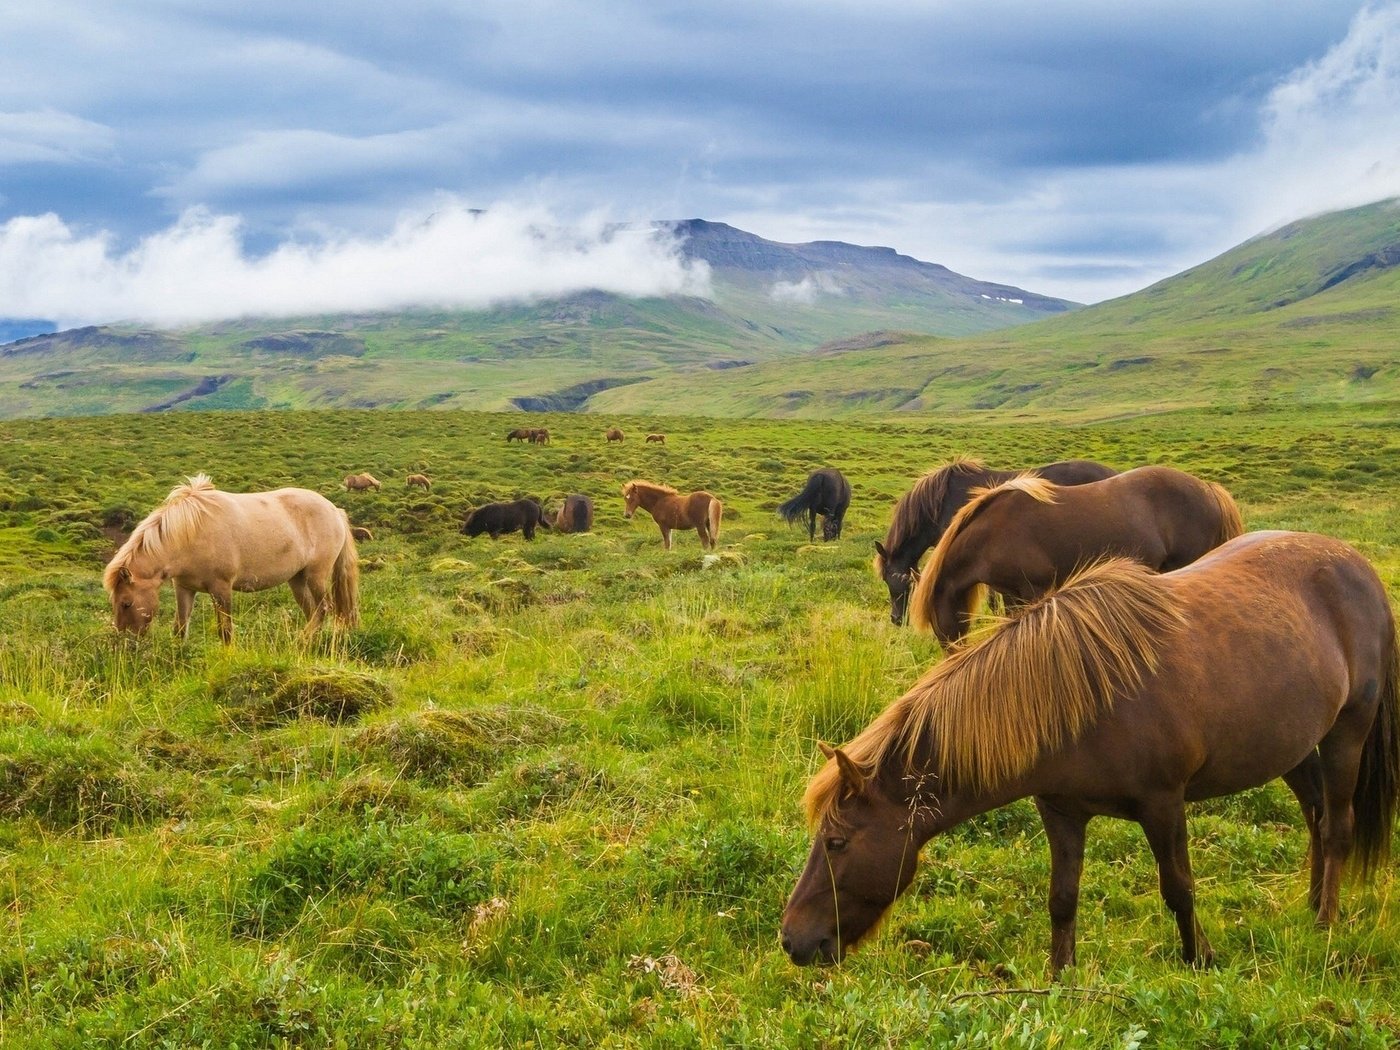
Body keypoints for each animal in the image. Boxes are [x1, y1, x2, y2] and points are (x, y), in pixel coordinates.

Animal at [104, 476, 361, 641]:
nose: (125, 643)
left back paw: (302, 643)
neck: (190, 534)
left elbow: (225, 630)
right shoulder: (184, 588)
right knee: (313, 612)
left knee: (324, 608)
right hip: (297, 579)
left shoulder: (221, 588)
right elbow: (180, 628)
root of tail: (334, 510)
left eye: (126, 603)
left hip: (315, 575)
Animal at [784, 534, 1400, 980]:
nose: (792, 940)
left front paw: (1199, 959)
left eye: (836, 842)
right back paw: (1312, 903)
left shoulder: (1163, 804)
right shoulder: (1060, 811)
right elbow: (1062, 897)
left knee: (1337, 826)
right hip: (1290, 746)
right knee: (1315, 815)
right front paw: (1061, 976)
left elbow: (1178, 887)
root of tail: (1357, 566)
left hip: (1346, 734)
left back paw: (1325, 921)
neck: (1077, 697)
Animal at [907, 470, 1248, 649]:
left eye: (934, 619)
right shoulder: (1012, 595)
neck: (992, 532)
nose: (950, 654)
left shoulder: (1033, 590)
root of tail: (1208, 489)